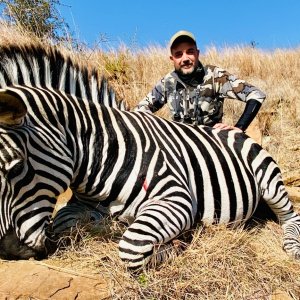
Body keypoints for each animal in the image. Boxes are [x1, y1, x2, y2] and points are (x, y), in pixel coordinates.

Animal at [0, 41, 300, 268]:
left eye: (15, 168)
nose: (9, 251)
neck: (102, 155)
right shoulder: (82, 204)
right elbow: (63, 220)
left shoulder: (176, 198)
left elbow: (131, 247)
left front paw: (180, 242)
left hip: (269, 183)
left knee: (290, 216)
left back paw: (291, 247)